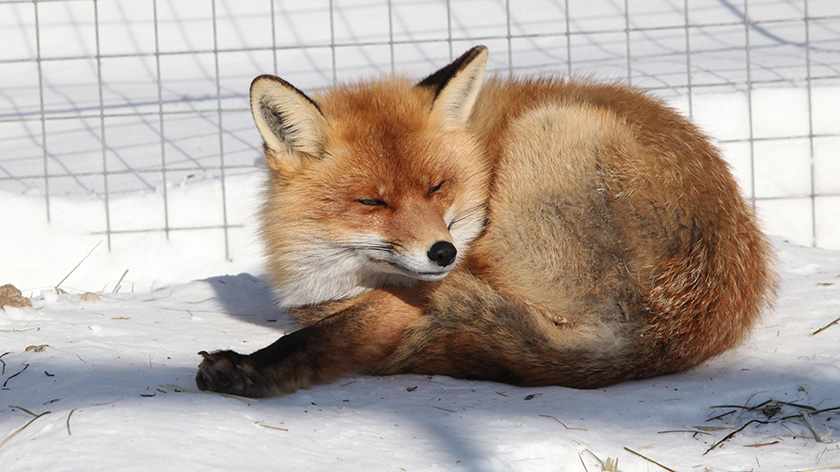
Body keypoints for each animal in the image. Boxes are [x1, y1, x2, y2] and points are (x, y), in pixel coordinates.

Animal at [195, 45, 776, 398]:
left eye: (437, 187)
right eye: (372, 203)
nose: (443, 253)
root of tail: (661, 333)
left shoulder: (423, 284)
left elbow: (334, 330)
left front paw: (255, 367)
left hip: (547, 129)